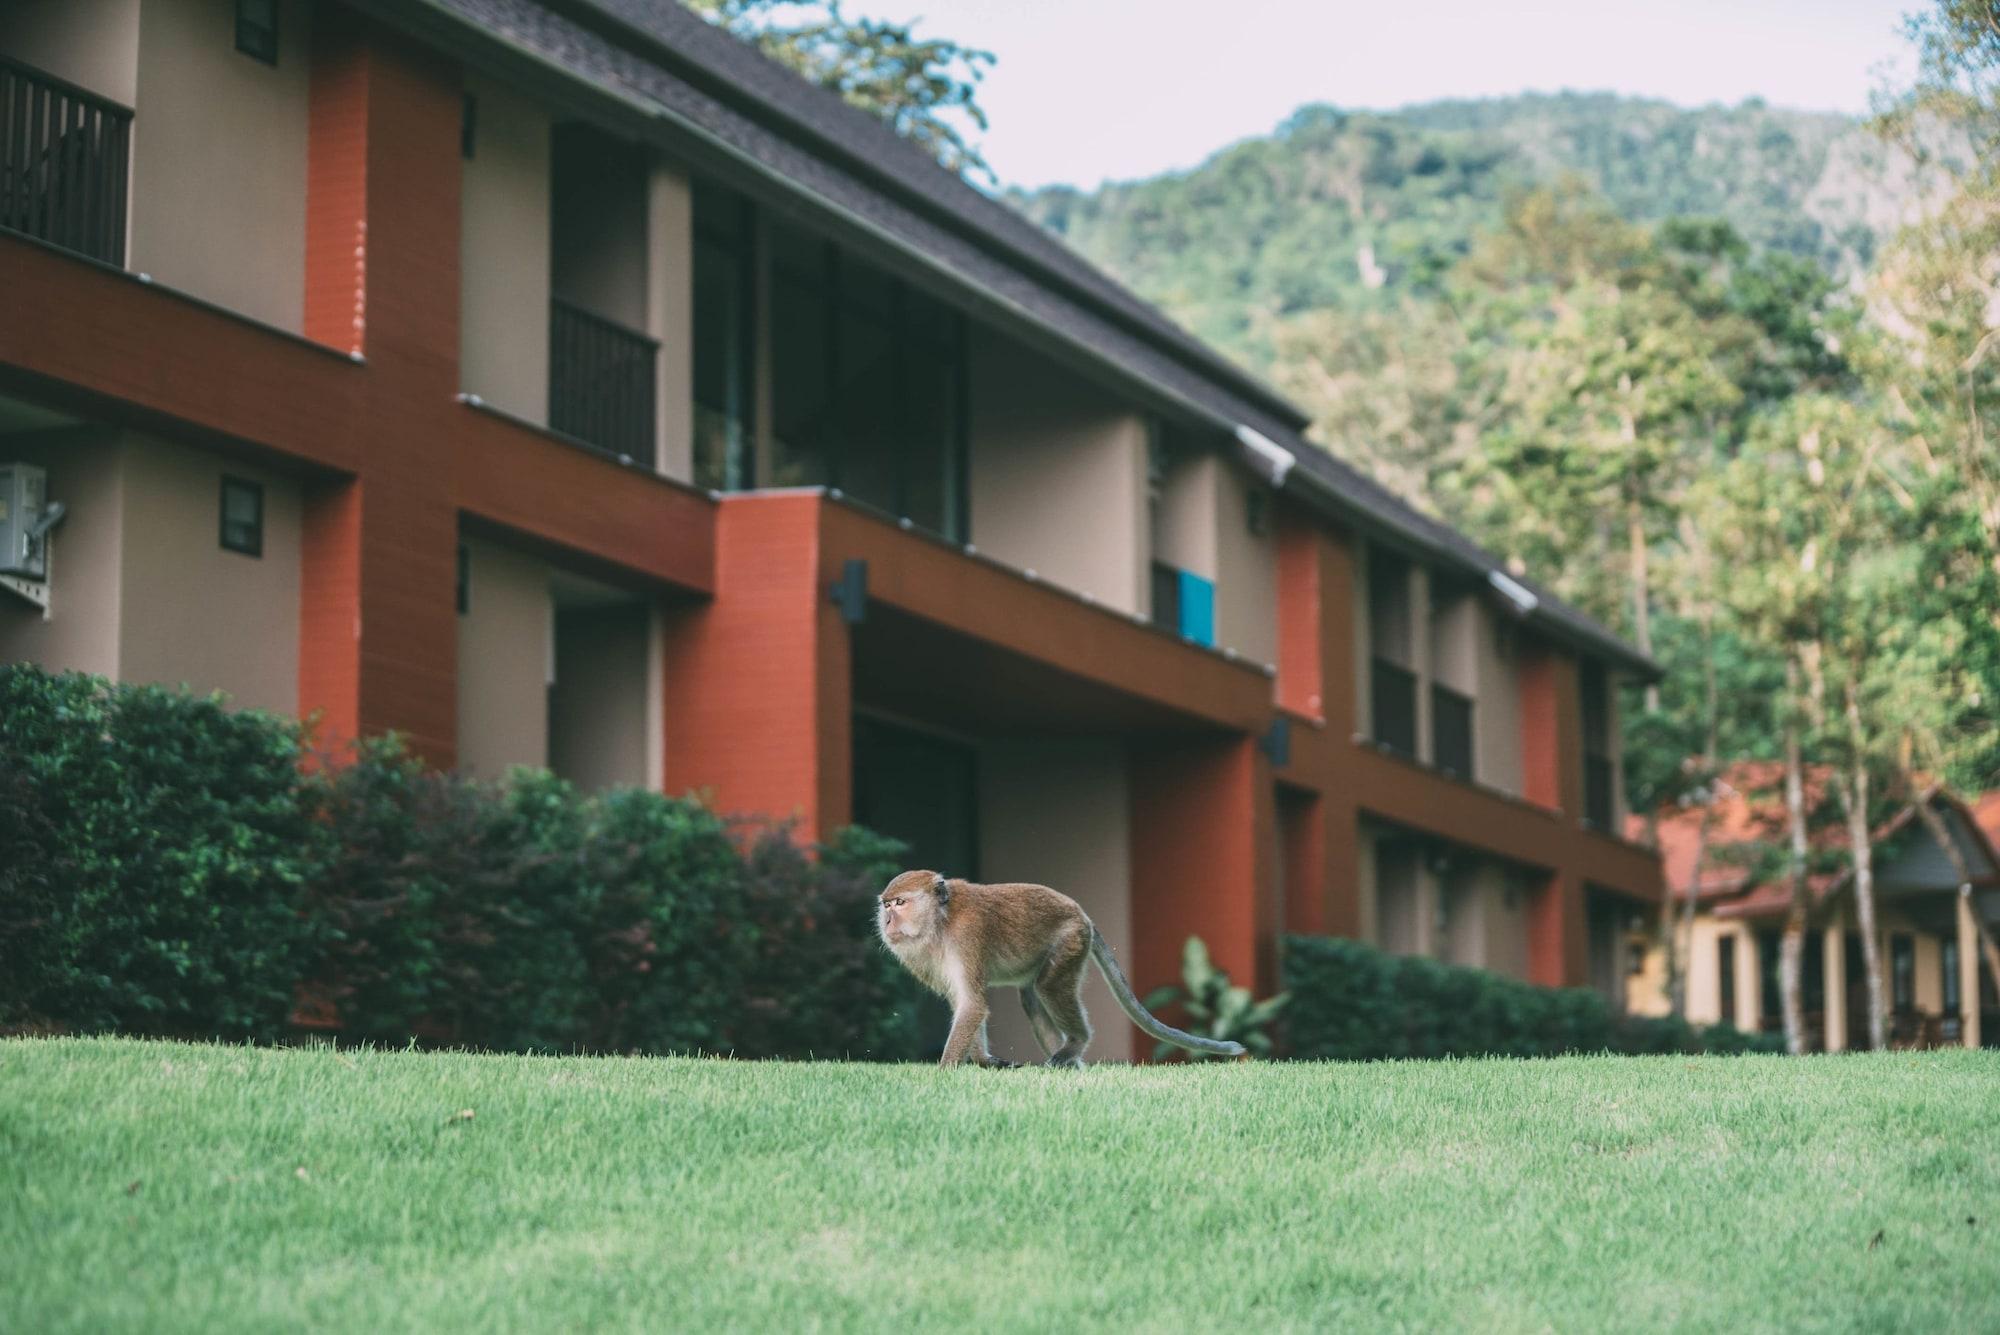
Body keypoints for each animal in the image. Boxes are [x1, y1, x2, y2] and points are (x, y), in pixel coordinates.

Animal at [880, 871, 1248, 1071]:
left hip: (1071, 939)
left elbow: (972, 1004)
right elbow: (966, 1004)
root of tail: (1081, 914)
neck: (940, 922)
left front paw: (943, 1072)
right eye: (886, 904)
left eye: (901, 904)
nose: (886, 922)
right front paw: (984, 1060)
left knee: (1048, 986)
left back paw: (1075, 1044)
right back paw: (1072, 1064)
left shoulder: (966, 936)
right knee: (1032, 996)